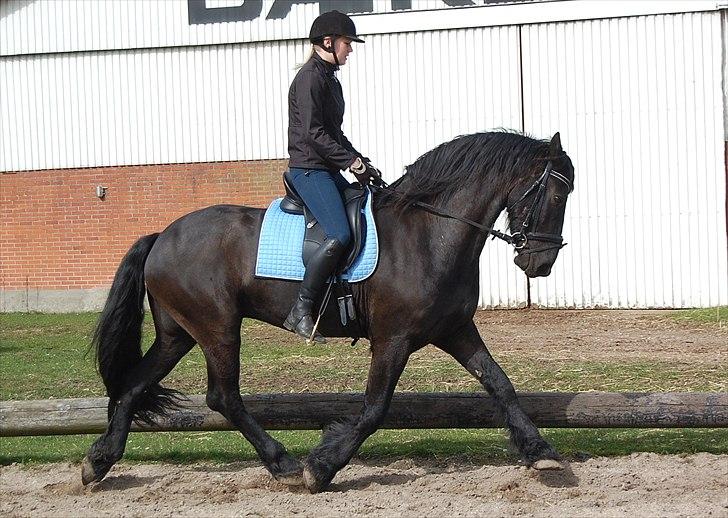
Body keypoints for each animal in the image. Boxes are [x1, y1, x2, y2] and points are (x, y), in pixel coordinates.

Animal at [82, 131, 576, 496]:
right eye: (555, 195)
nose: (541, 264)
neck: (430, 234)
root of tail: (161, 236)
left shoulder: (455, 330)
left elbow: (500, 384)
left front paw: (541, 452)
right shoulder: (393, 339)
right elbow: (375, 409)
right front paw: (321, 467)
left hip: (178, 334)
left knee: (133, 386)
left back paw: (98, 462)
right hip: (217, 329)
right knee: (223, 398)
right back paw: (283, 463)